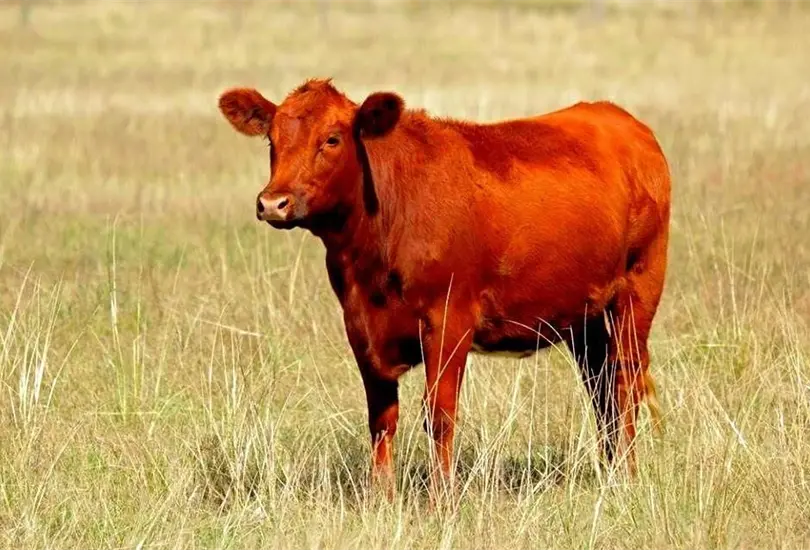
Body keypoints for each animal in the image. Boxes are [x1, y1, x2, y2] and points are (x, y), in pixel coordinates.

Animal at [218, 78, 670, 495]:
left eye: (331, 139)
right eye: (272, 139)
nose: (273, 203)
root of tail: (620, 119)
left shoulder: (450, 320)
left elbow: (439, 414)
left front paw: (441, 499)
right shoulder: (360, 326)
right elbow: (381, 418)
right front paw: (381, 498)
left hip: (638, 291)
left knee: (624, 381)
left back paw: (627, 476)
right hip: (584, 317)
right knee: (601, 389)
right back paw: (611, 471)